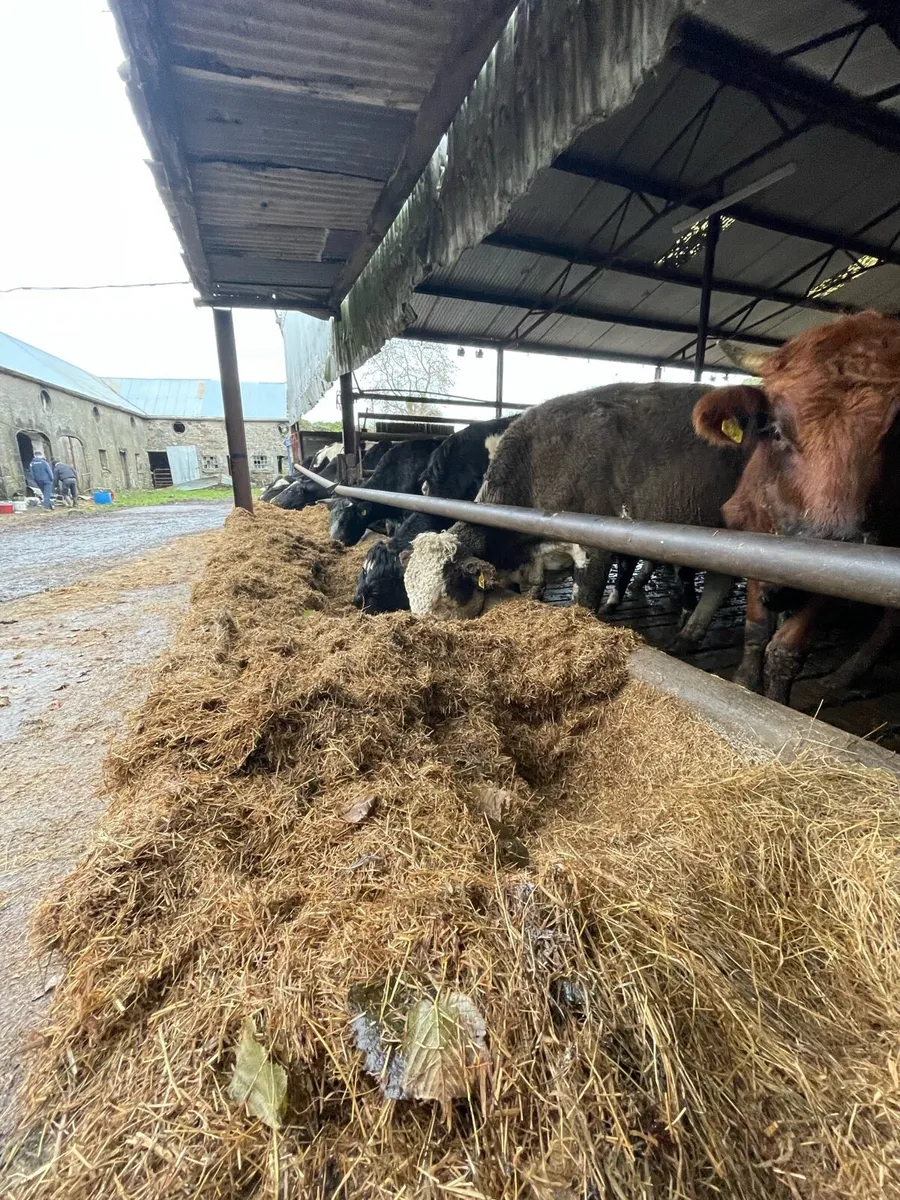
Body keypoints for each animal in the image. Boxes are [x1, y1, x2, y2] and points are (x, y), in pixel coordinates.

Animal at [692, 310, 900, 705]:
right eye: (774, 429)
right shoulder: (746, 536)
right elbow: (756, 628)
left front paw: (774, 700)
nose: (833, 539)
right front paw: (744, 681)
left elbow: (786, 648)